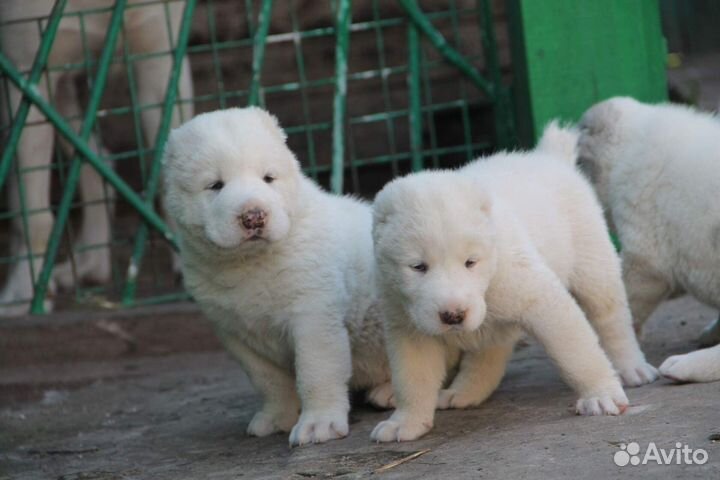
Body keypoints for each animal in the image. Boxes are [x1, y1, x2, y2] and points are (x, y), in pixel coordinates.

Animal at [162, 108, 390, 446]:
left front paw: (318, 425)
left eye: (268, 178)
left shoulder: (313, 316)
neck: (251, 263)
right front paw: (276, 418)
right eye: (215, 185)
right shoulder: (234, 332)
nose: (254, 215)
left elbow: (316, 370)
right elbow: (267, 380)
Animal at [368, 123, 656, 442]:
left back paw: (631, 367)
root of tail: (547, 158)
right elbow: (412, 375)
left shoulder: (532, 291)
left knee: (610, 316)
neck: (489, 274)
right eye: (418, 267)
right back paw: (462, 392)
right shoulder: (405, 316)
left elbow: (577, 350)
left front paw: (600, 395)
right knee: (491, 349)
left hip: (591, 256)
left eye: (471, 262)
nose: (453, 315)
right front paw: (405, 422)